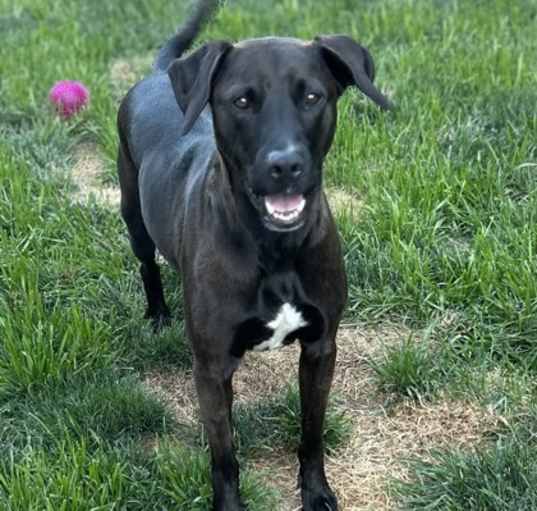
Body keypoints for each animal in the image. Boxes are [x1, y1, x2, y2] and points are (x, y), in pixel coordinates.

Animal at [117, 2, 392, 510]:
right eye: (242, 101)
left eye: (312, 96)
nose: (285, 166)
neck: (274, 249)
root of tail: (159, 73)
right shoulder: (211, 368)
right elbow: (224, 456)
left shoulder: (322, 347)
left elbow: (312, 432)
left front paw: (316, 492)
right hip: (133, 216)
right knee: (147, 264)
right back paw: (158, 313)